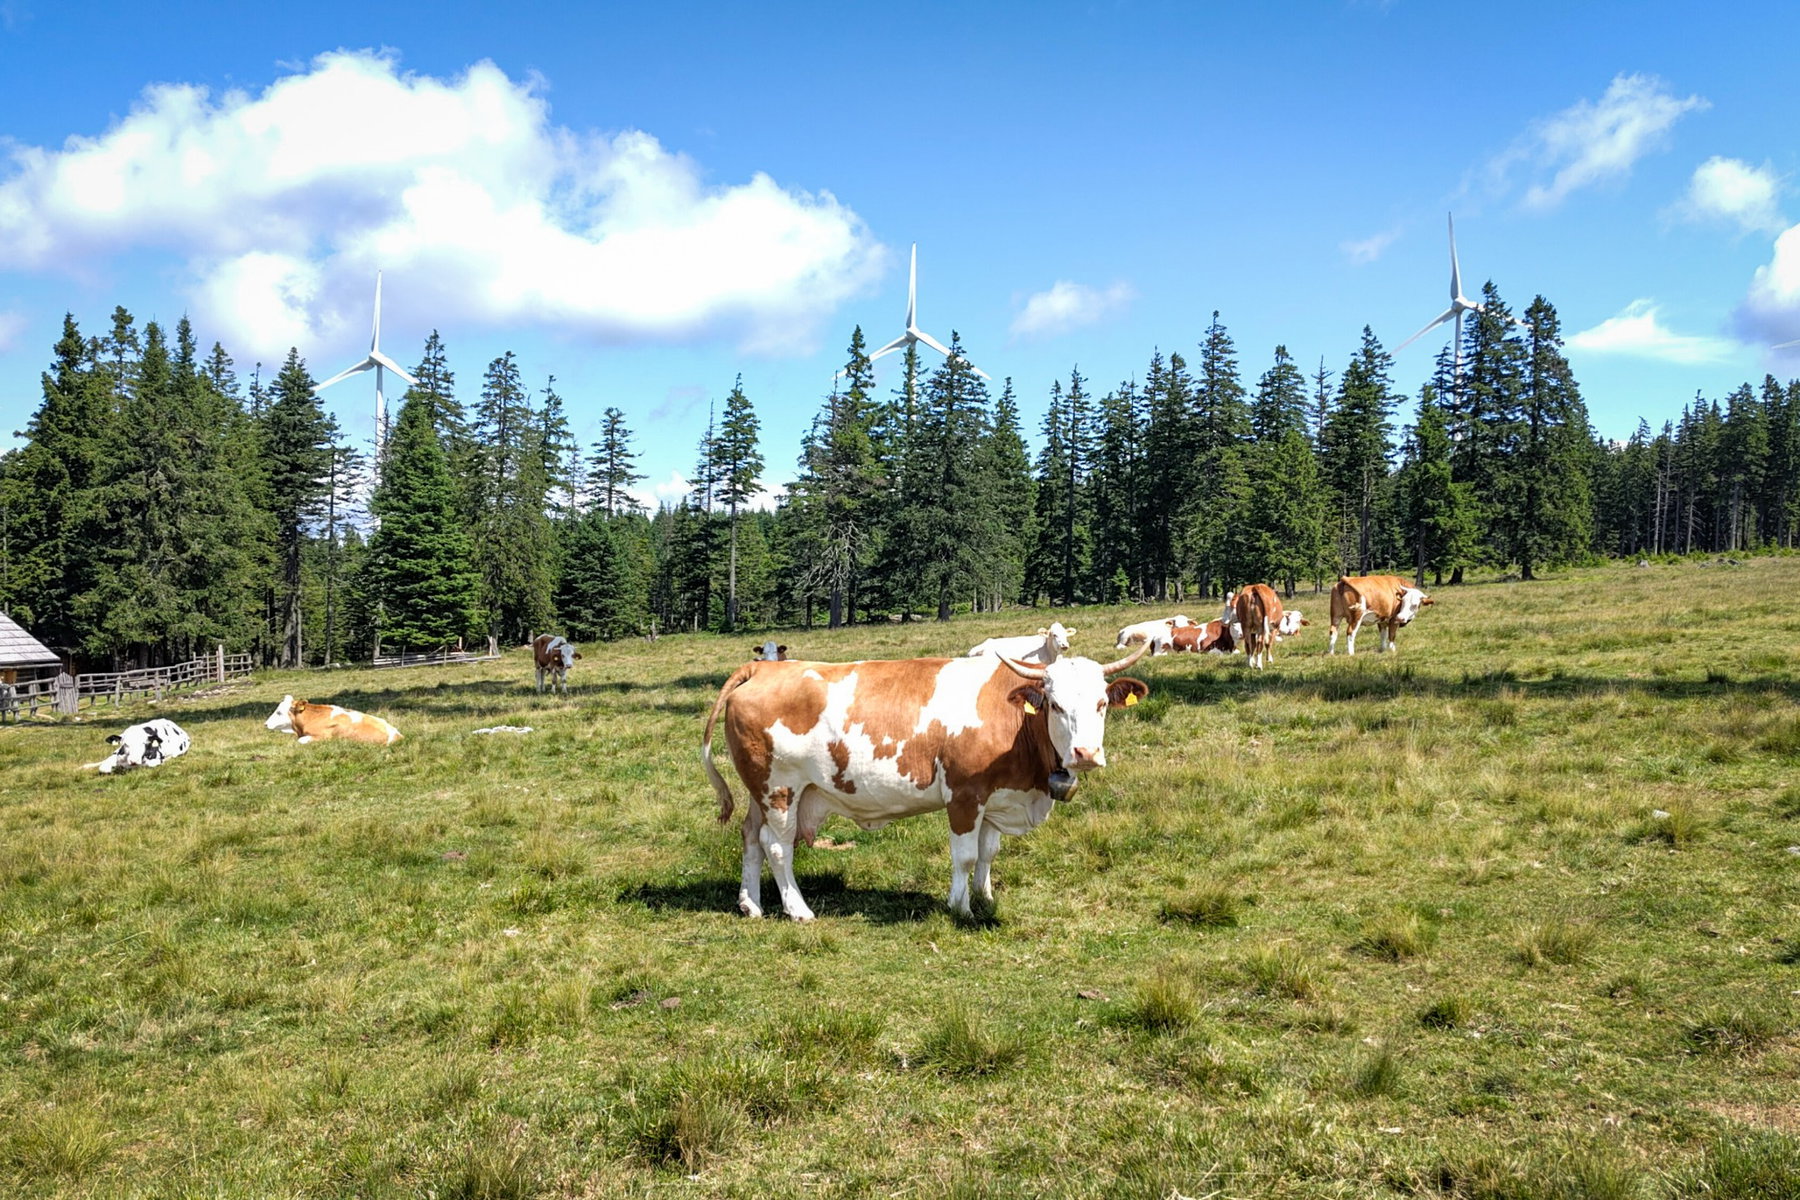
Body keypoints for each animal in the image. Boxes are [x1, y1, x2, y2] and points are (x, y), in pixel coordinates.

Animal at [702, 643, 1152, 921]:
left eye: (1101, 704)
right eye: (1055, 705)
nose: (1086, 754)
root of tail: (761, 669)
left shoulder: (997, 797)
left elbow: (989, 852)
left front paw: (985, 897)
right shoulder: (965, 796)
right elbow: (965, 856)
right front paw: (961, 907)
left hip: (761, 792)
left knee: (750, 836)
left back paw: (751, 904)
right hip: (780, 789)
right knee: (777, 847)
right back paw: (798, 910)